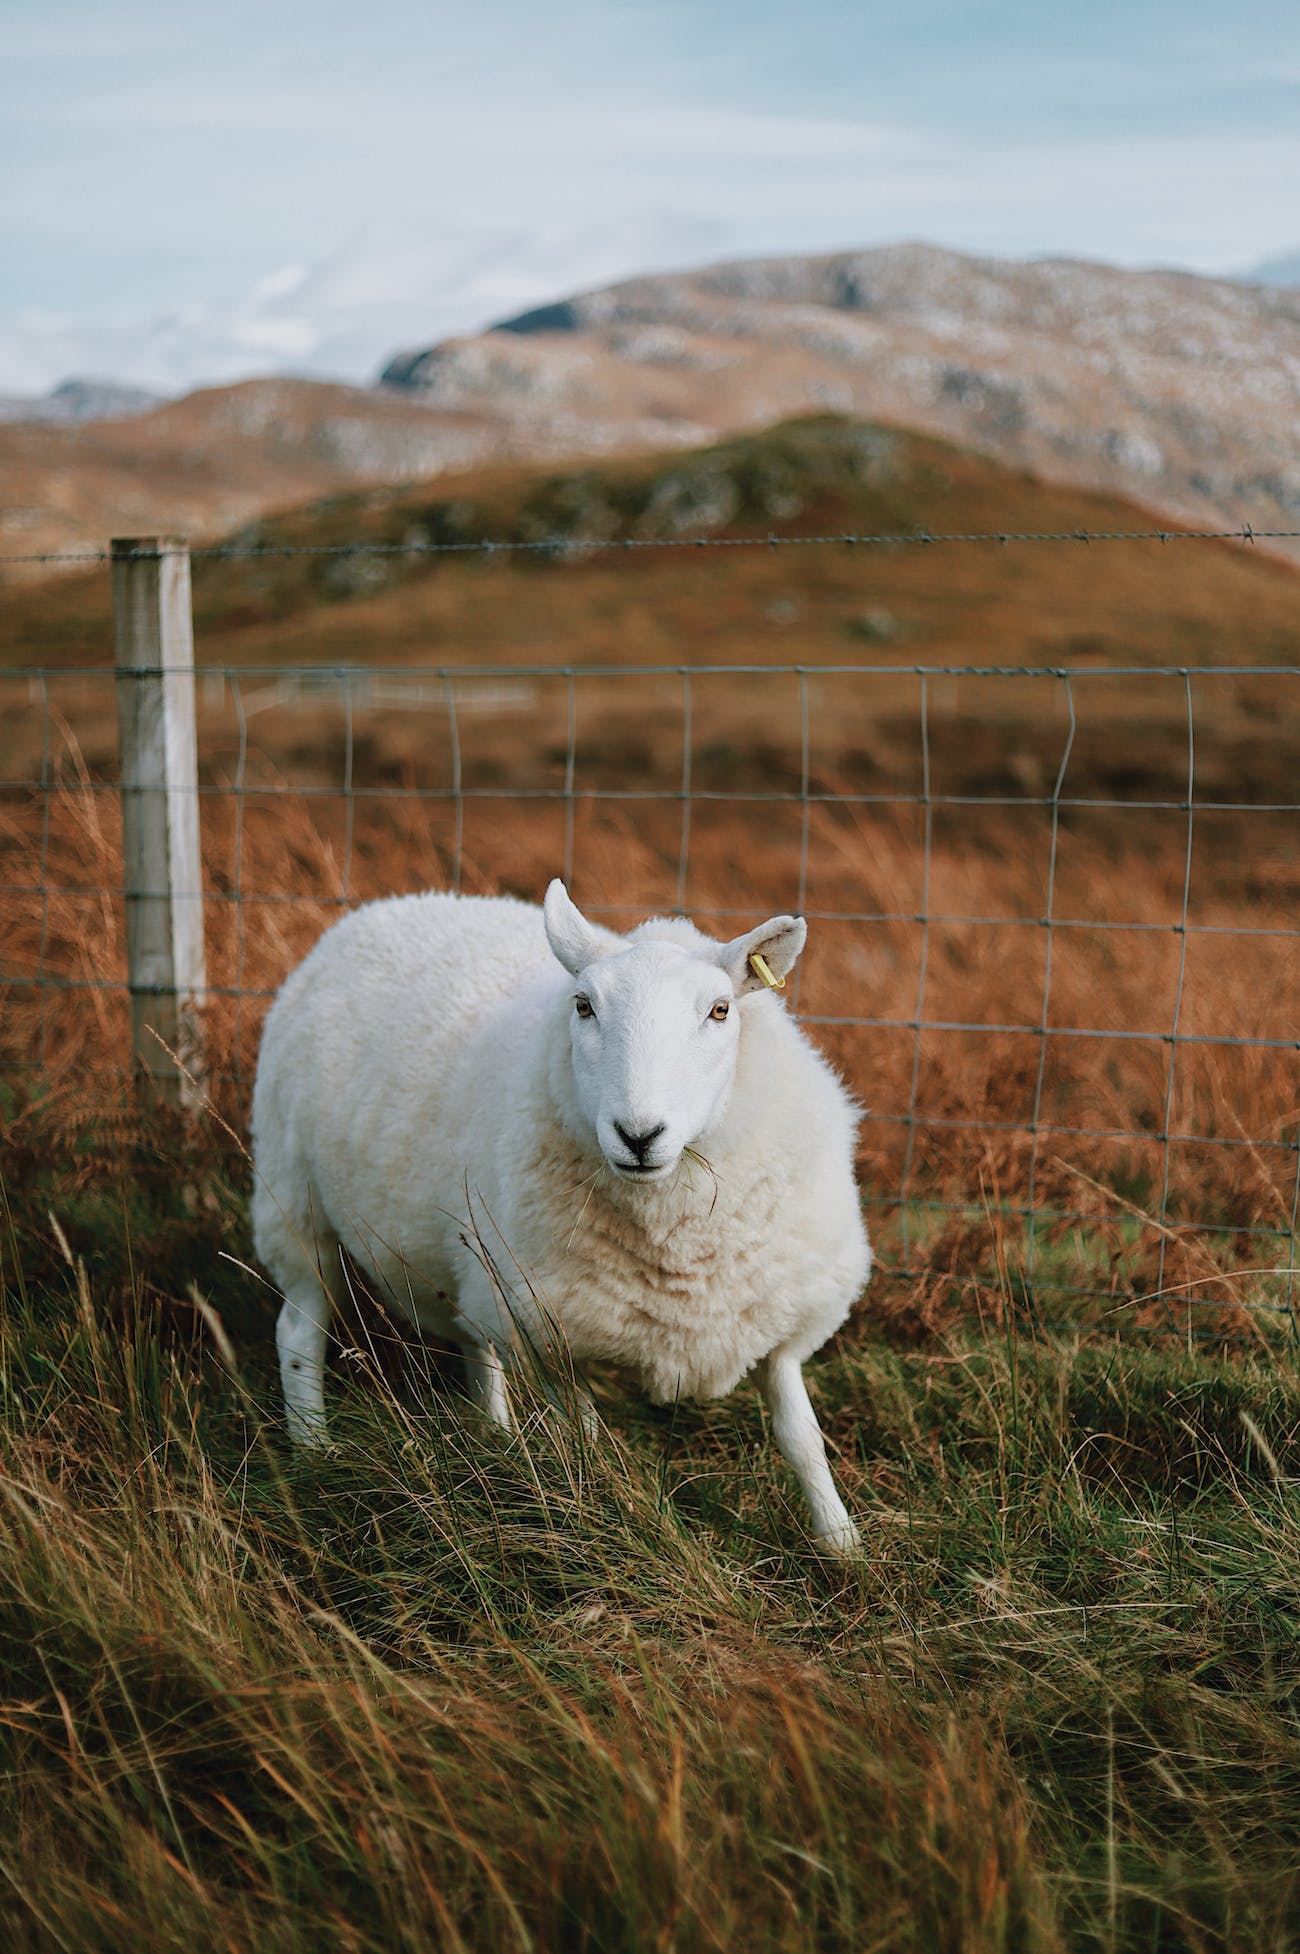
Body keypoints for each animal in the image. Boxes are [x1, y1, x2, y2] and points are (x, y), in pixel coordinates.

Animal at [250, 879, 871, 1547]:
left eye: (721, 1010)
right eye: (583, 1006)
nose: (638, 1134)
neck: (676, 1236)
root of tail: (387, 906)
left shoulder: (776, 1315)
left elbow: (802, 1438)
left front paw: (842, 1546)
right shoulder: (552, 1334)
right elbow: (590, 1448)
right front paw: (622, 1525)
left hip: (470, 1258)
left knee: (474, 1342)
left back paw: (493, 1436)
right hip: (296, 1204)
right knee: (298, 1333)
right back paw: (314, 1452)